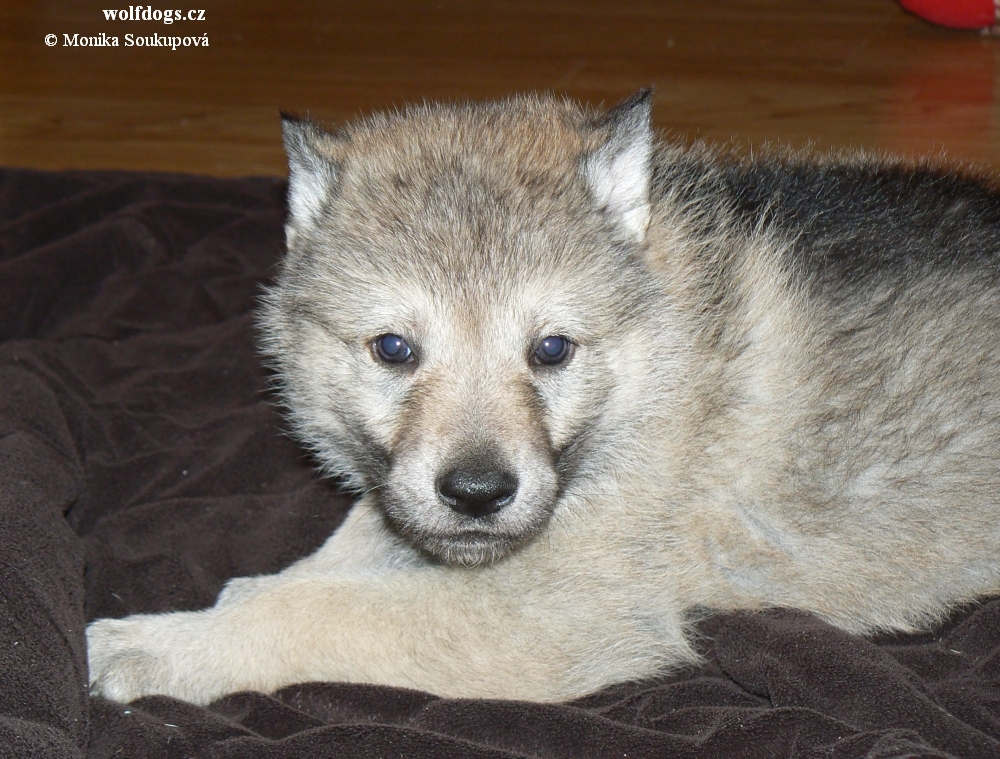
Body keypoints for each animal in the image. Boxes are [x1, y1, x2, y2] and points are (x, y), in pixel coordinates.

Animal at [86, 92, 1000, 704]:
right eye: (393, 349)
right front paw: (249, 590)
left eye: (551, 349)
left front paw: (162, 645)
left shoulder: (554, 612)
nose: (478, 493)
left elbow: (330, 614)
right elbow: (347, 551)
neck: (658, 352)